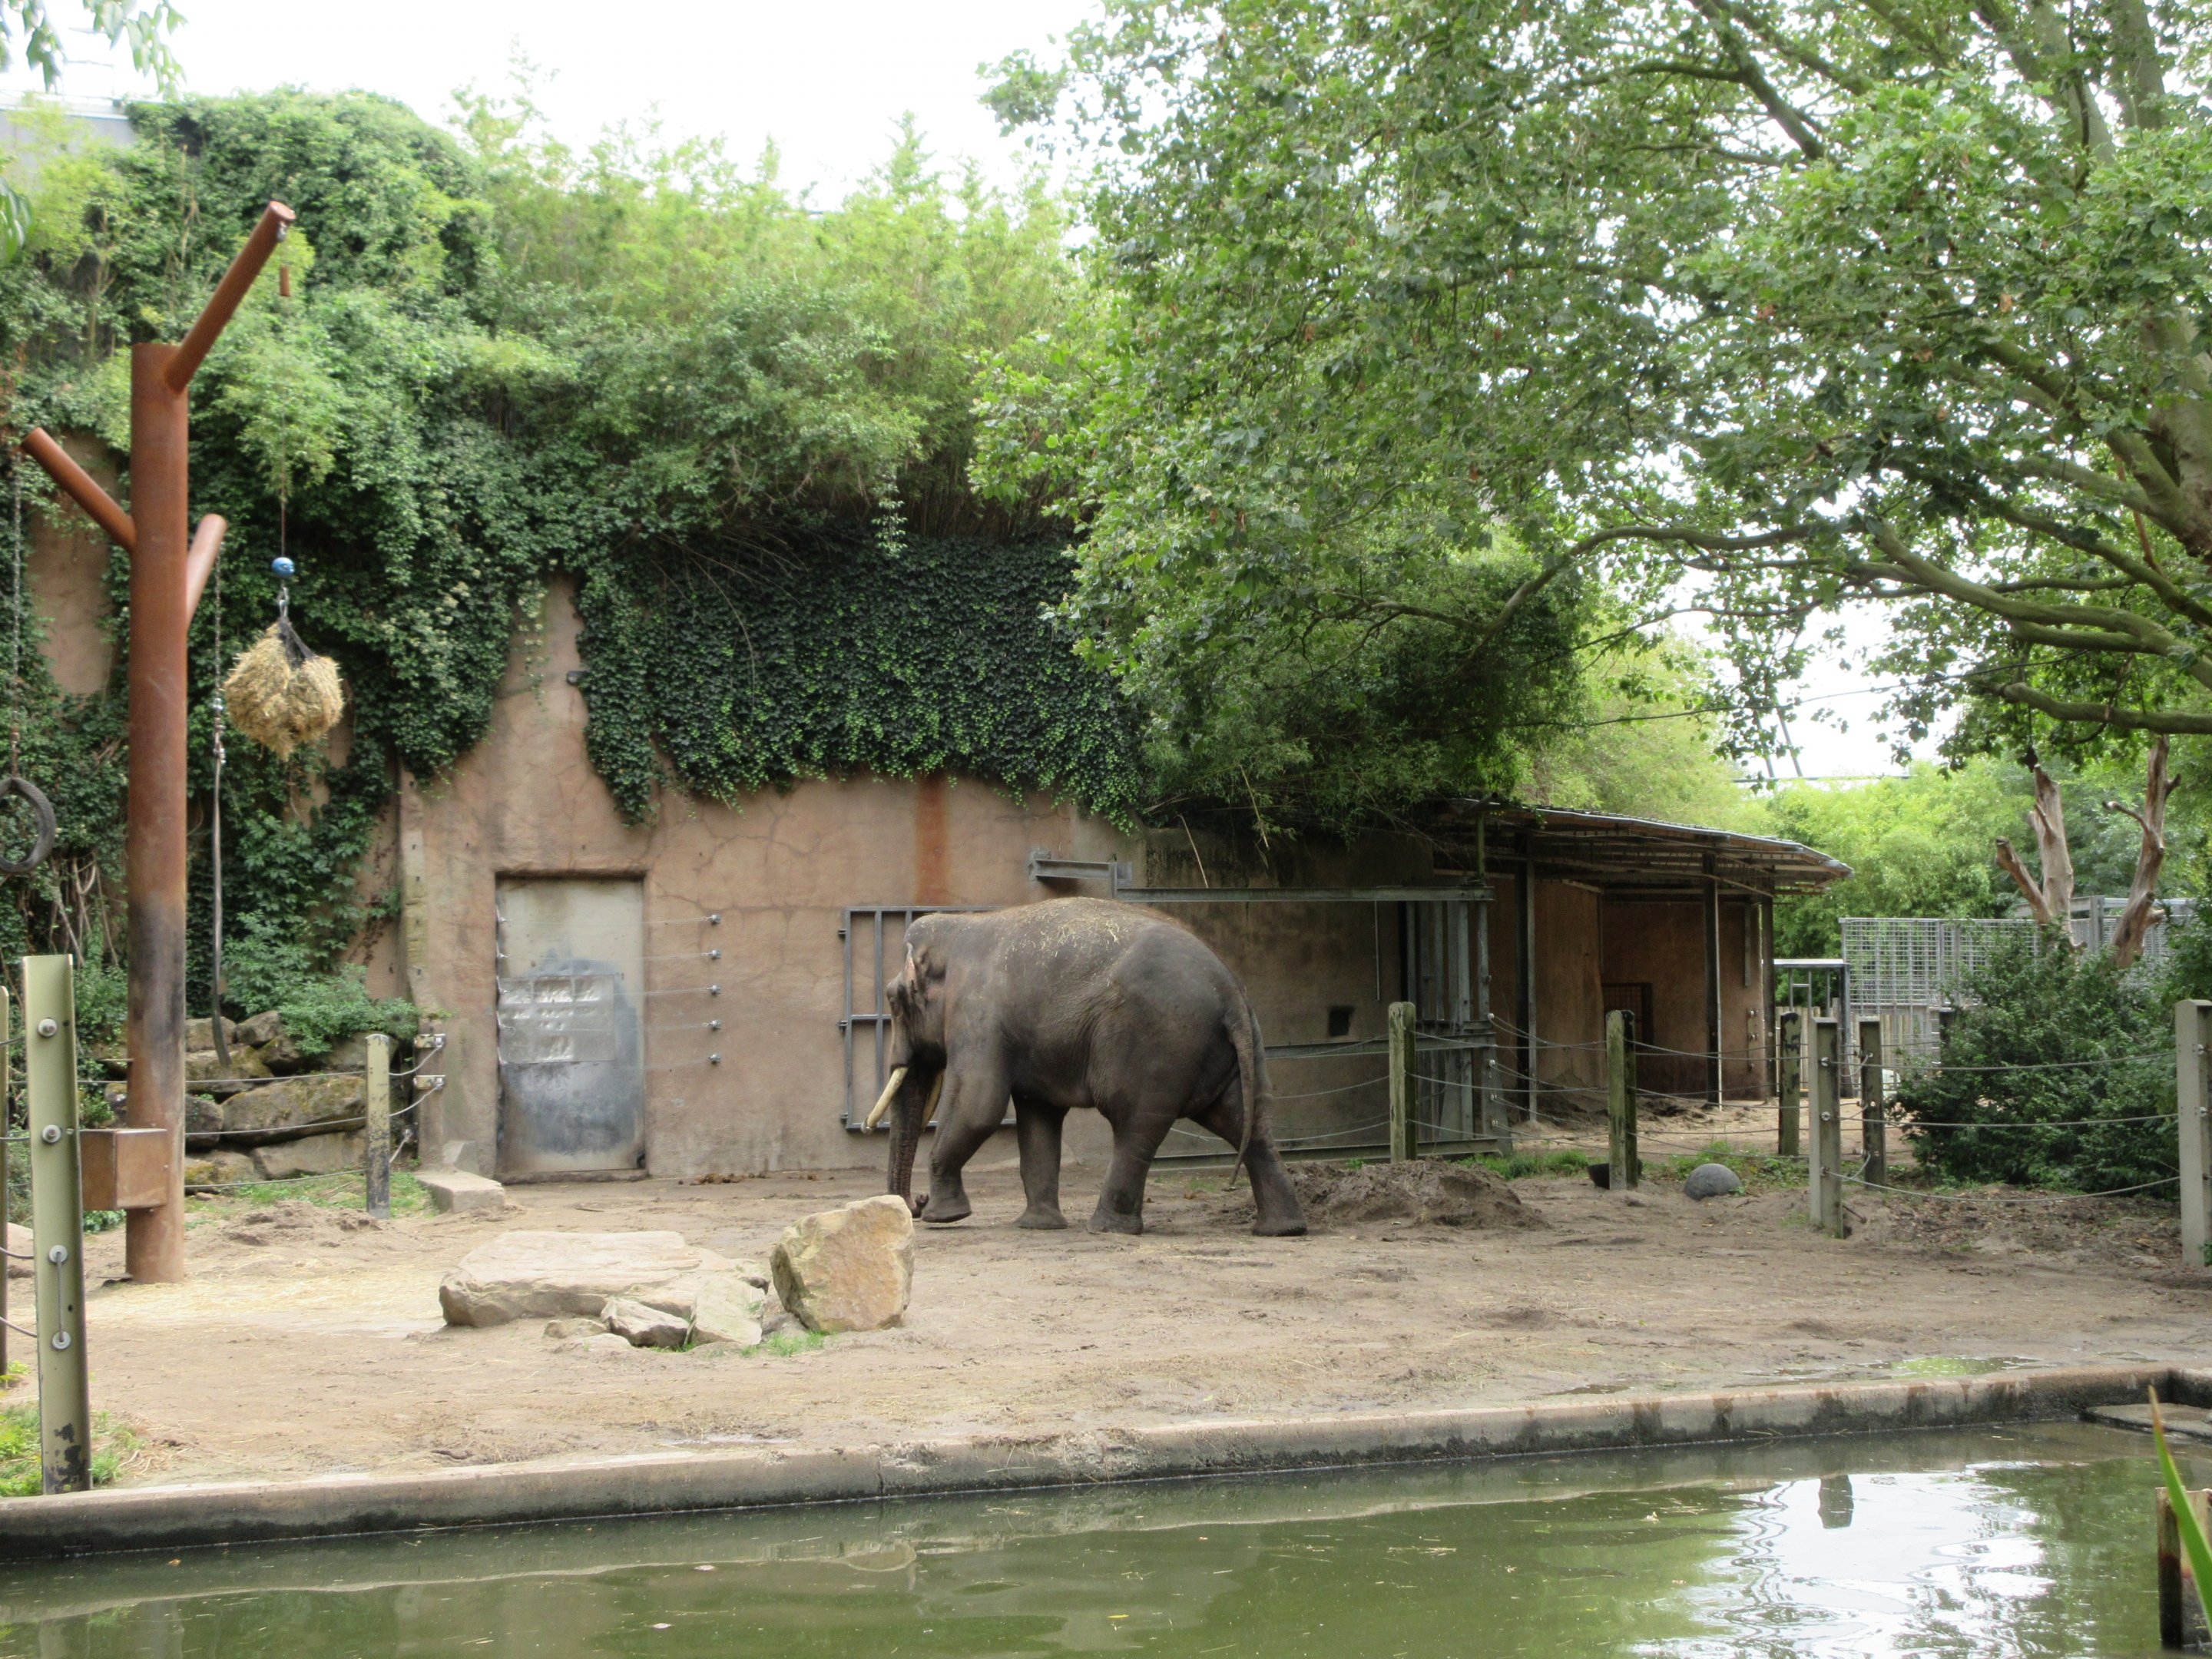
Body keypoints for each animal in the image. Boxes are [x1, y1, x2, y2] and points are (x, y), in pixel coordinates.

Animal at [862, 897, 1307, 1237]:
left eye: (894, 1000)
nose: (916, 1204)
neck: (961, 927)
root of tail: (1230, 991)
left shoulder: (978, 1016)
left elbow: (978, 1107)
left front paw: (945, 1219)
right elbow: (1037, 1116)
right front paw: (1038, 1227)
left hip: (1156, 1046)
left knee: (1135, 1127)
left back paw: (1107, 1229)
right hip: (1234, 1050)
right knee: (1247, 1123)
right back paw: (1282, 1230)